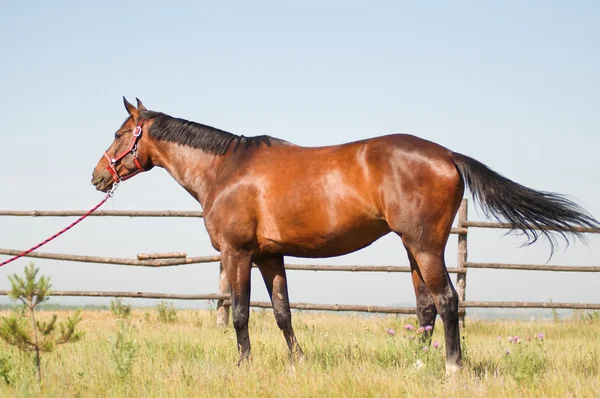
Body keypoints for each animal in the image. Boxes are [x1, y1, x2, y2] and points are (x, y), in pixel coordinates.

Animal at [91, 96, 596, 374]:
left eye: (118, 133)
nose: (97, 176)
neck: (226, 170)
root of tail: (448, 155)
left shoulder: (238, 254)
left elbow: (239, 313)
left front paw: (243, 365)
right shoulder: (270, 256)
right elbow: (282, 313)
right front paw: (297, 362)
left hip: (425, 246)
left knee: (447, 301)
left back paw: (452, 367)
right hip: (412, 248)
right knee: (426, 308)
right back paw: (416, 363)